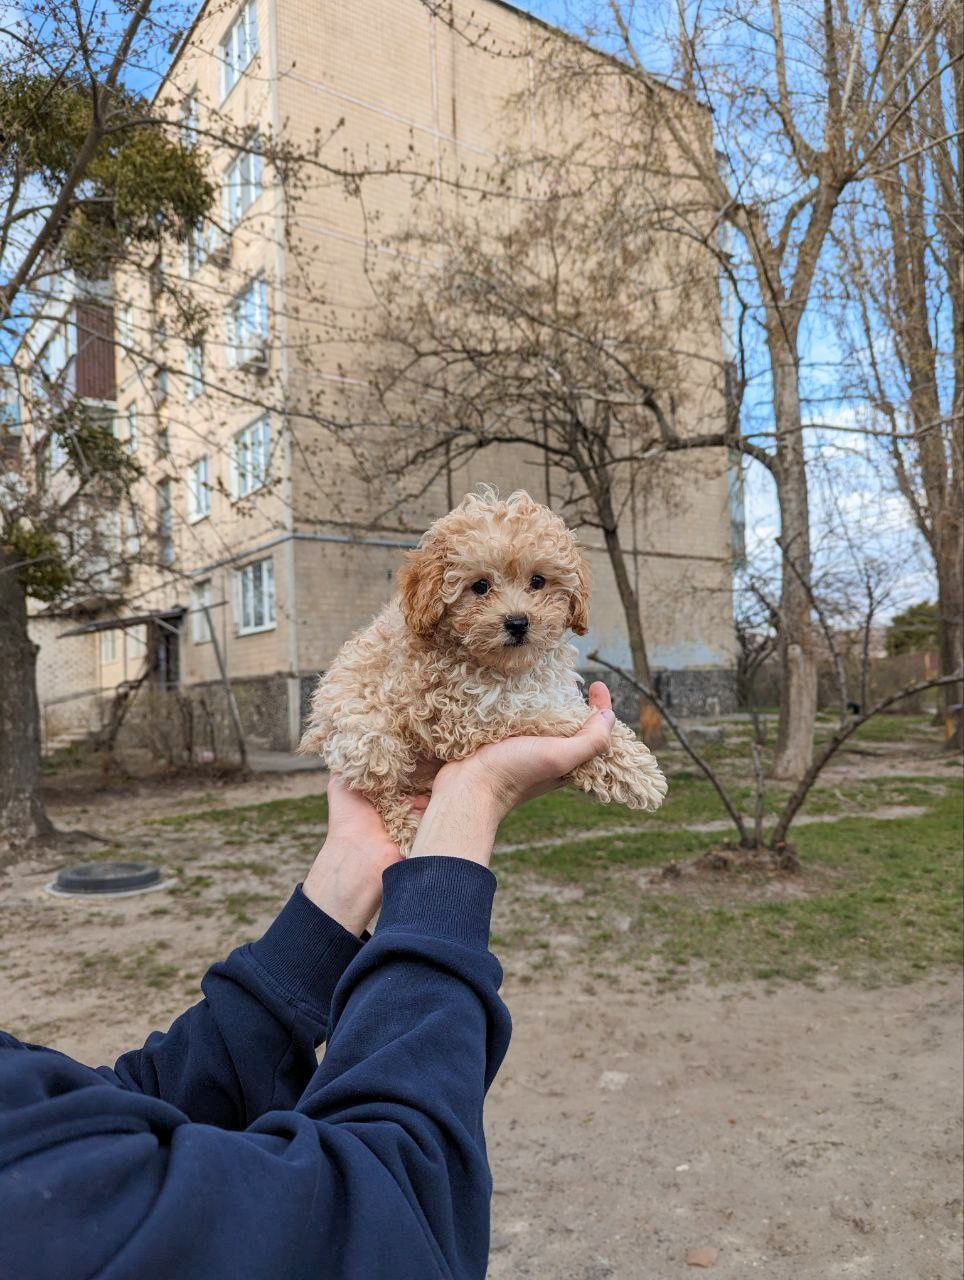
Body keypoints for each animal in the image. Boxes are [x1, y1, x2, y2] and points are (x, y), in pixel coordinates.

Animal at [302, 488, 670, 849]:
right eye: (480, 586)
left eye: (538, 580)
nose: (518, 622)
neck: (507, 667)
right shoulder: (470, 715)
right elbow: (555, 721)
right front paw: (638, 773)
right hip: (368, 738)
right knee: (381, 793)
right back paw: (408, 829)